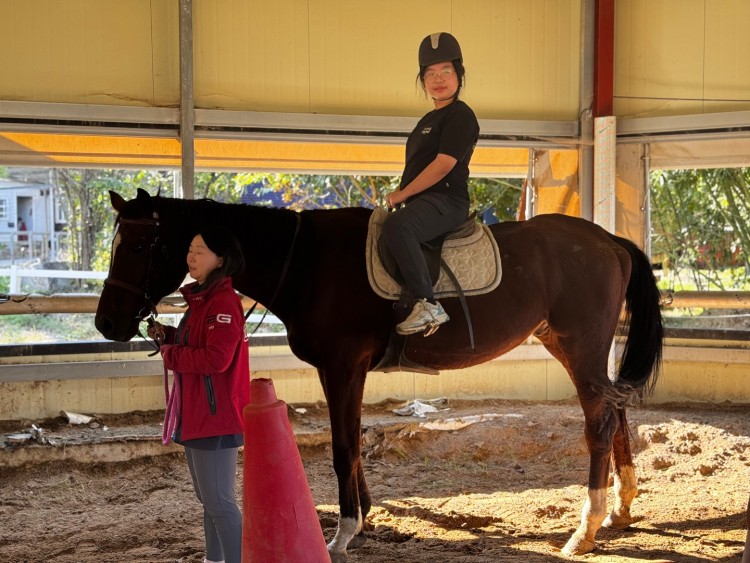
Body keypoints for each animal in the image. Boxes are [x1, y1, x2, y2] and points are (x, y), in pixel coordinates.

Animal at [95, 189, 663, 561]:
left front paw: (344, 531)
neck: (306, 262)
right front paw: (364, 516)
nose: (106, 324)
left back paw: (585, 528)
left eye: (141, 246)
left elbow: (343, 445)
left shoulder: (341, 367)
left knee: (598, 422)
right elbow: (353, 441)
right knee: (614, 408)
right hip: (573, 346)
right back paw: (621, 506)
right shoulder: (351, 372)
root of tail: (608, 240)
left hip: (580, 346)